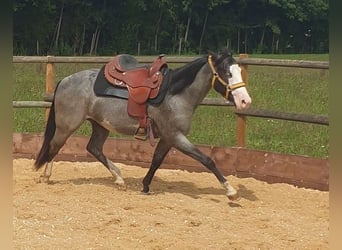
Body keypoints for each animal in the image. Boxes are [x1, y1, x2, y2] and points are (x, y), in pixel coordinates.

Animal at [33, 49, 251, 200]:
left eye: (239, 71)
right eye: (227, 72)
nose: (245, 101)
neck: (175, 94)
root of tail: (65, 80)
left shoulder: (167, 138)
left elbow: (156, 161)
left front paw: (145, 186)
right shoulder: (176, 137)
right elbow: (207, 160)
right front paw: (230, 191)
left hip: (100, 125)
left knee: (93, 148)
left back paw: (119, 179)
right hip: (67, 125)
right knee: (55, 145)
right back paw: (45, 176)